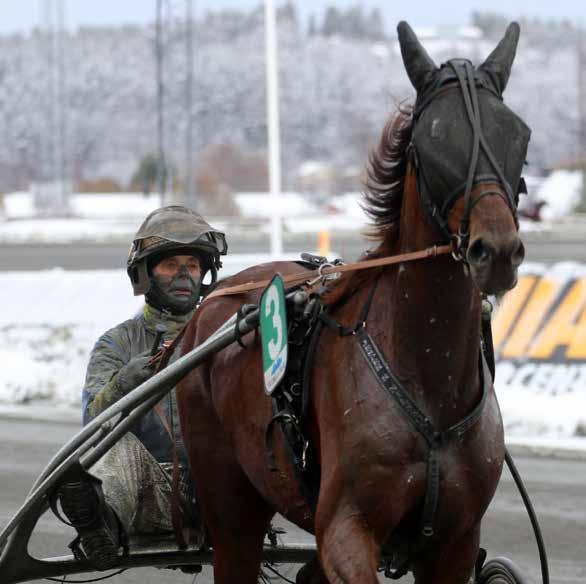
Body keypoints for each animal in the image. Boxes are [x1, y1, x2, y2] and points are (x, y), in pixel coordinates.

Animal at [178, 21, 528, 584]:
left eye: (517, 133)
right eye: (434, 137)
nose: (495, 249)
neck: (427, 374)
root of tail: (207, 309)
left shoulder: (455, 541)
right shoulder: (345, 525)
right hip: (229, 503)